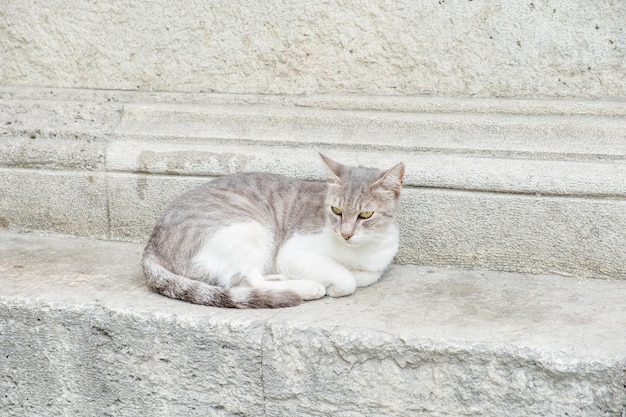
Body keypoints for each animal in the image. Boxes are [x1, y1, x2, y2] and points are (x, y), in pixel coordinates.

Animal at [142, 154, 404, 308]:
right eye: (336, 210)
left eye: (366, 215)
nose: (346, 234)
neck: (359, 251)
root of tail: (152, 242)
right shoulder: (292, 251)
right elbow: (346, 279)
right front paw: (334, 283)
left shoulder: (378, 264)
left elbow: (367, 275)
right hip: (248, 229)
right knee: (245, 282)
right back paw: (305, 287)